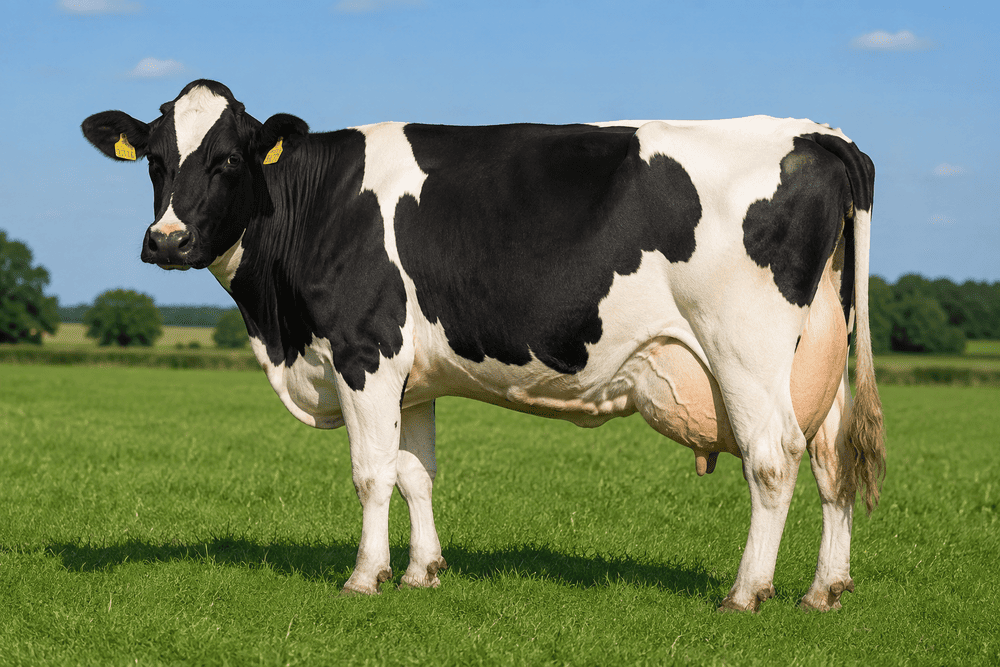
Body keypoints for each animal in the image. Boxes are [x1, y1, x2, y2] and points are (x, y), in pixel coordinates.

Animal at [82, 79, 885, 612]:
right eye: (155, 160)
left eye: (227, 160)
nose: (166, 240)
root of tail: (820, 134)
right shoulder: (411, 375)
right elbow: (417, 473)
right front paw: (421, 572)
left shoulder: (364, 351)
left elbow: (372, 473)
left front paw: (364, 577)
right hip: (819, 352)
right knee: (831, 458)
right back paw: (825, 588)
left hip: (745, 349)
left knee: (772, 457)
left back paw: (747, 591)